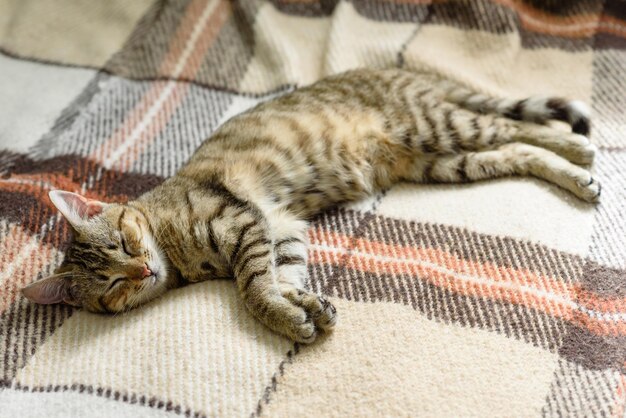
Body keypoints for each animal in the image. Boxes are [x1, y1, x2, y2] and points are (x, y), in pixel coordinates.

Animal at [20, 68, 596, 342]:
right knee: (515, 150)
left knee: (518, 127)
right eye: (111, 285)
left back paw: (581, 151)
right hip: (442, 160)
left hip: (436, 126)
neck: (176, 252)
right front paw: (301, 306)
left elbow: (254, 288)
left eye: (124, 242)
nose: (141, 270)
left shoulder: (242, 220)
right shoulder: (281, 227)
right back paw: (575, 174)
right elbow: (284, 276)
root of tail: (399, 71)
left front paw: (279, 311)